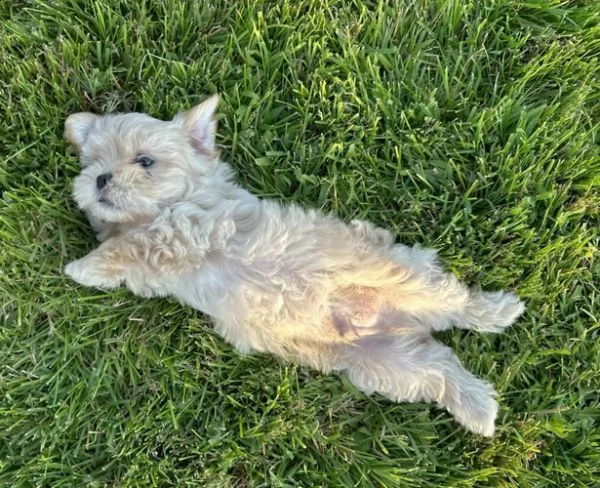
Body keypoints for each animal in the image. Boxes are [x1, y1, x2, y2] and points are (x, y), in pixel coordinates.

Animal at [65, 94, 524, 434]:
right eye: (94, 163)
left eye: (145, 161)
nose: (100, 180)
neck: (165, 206)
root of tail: (400, 317)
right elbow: (123, 247)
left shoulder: (187, 228)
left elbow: (134, 245)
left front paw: (82, 265)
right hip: (389, 363)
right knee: (441, 370)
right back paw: (478, 408)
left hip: (403, 276)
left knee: (454, 299)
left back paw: (497, 311)